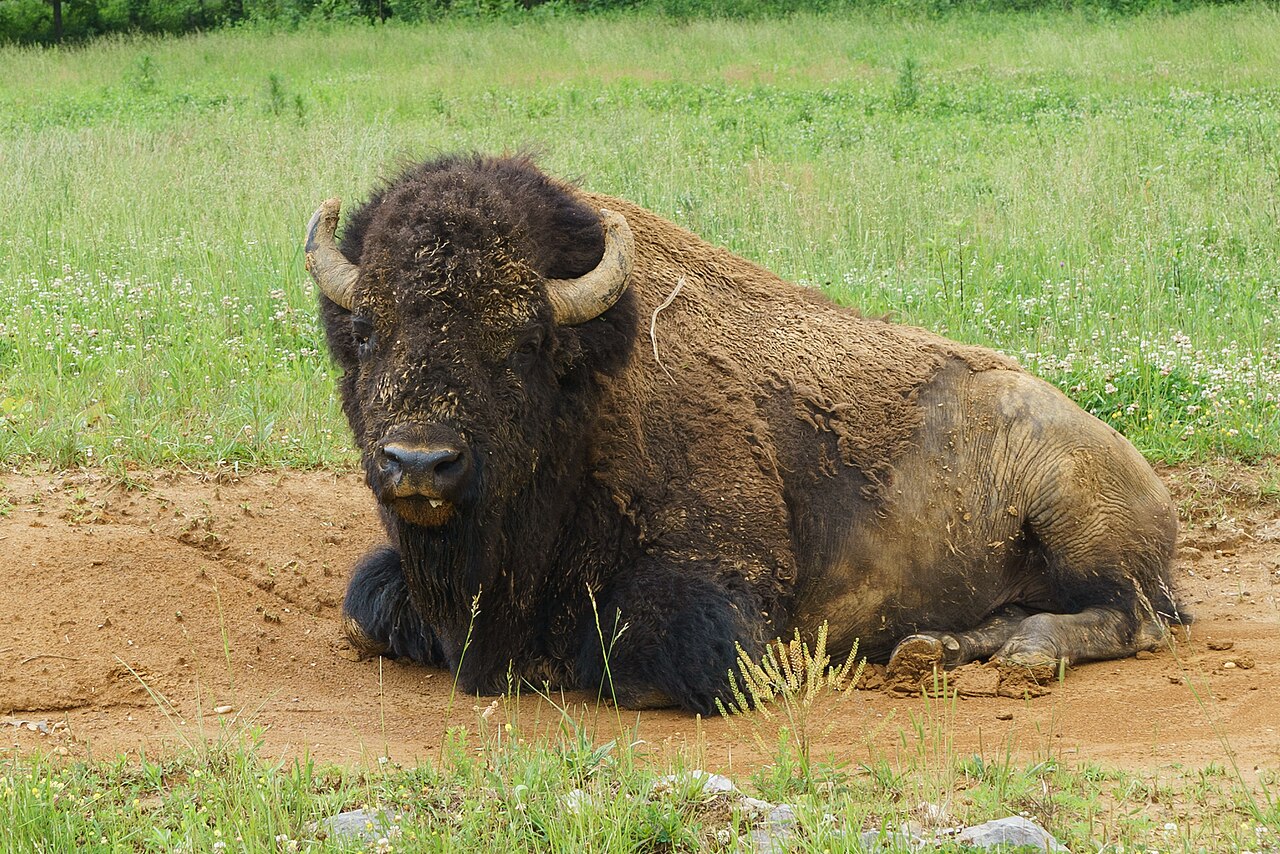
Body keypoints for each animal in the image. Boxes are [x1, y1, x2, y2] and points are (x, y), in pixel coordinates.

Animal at [303, 153, 1184, 714]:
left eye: (522, 340)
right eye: (368, 331)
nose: (419, 462)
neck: (591, 393)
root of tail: (1142, 471)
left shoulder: (720, 586)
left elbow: (642, 656)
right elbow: (361, 606)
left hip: (1075, 518)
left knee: (1132, 616)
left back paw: (1025, 654)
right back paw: (930, 651)